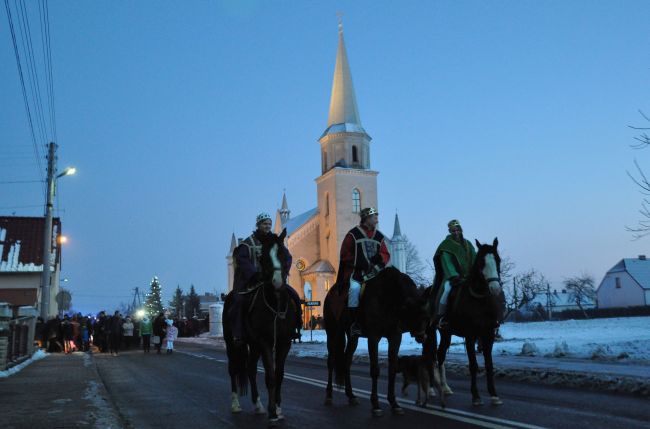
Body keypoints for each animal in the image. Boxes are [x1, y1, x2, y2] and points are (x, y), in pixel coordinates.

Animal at [220, 229, 296, 422]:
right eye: (264, 257)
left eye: (283, 253)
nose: (277, 282)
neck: (275, 305)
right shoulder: (265, 342)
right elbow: (270, 376)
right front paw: (272, 413)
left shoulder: (284, 343)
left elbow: (279, 375)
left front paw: (278, 409)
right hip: (232, 343)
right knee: (233, 369)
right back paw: (236, 404)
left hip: (253, 346)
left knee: (251, 369)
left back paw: (258, 405)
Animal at [322, 266, 428, 416]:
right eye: (413, 313)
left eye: (425, 315)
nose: (421, 336)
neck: (389, 297)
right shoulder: (373, 338)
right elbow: (375, 370)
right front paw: (376, 404)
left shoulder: (395, 338)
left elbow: (392, 369)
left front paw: (394, 403)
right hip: (332, 332)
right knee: (331, 361)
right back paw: (329, 394)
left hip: (353, 337)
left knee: (347, 362)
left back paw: (351, 395)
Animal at [422, 236, 504, 406]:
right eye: (481, 262)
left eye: (498, 259)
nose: (495, 288)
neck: (479, 300)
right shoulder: (470, 336)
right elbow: (473, 365)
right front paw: (476, 396)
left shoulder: (488, 335)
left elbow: (489, 365)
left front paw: (494, 395)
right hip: (431, 332)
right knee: (431, 356)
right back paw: (432, 389)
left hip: (446, 333)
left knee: (440, 355)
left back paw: (445, 388)